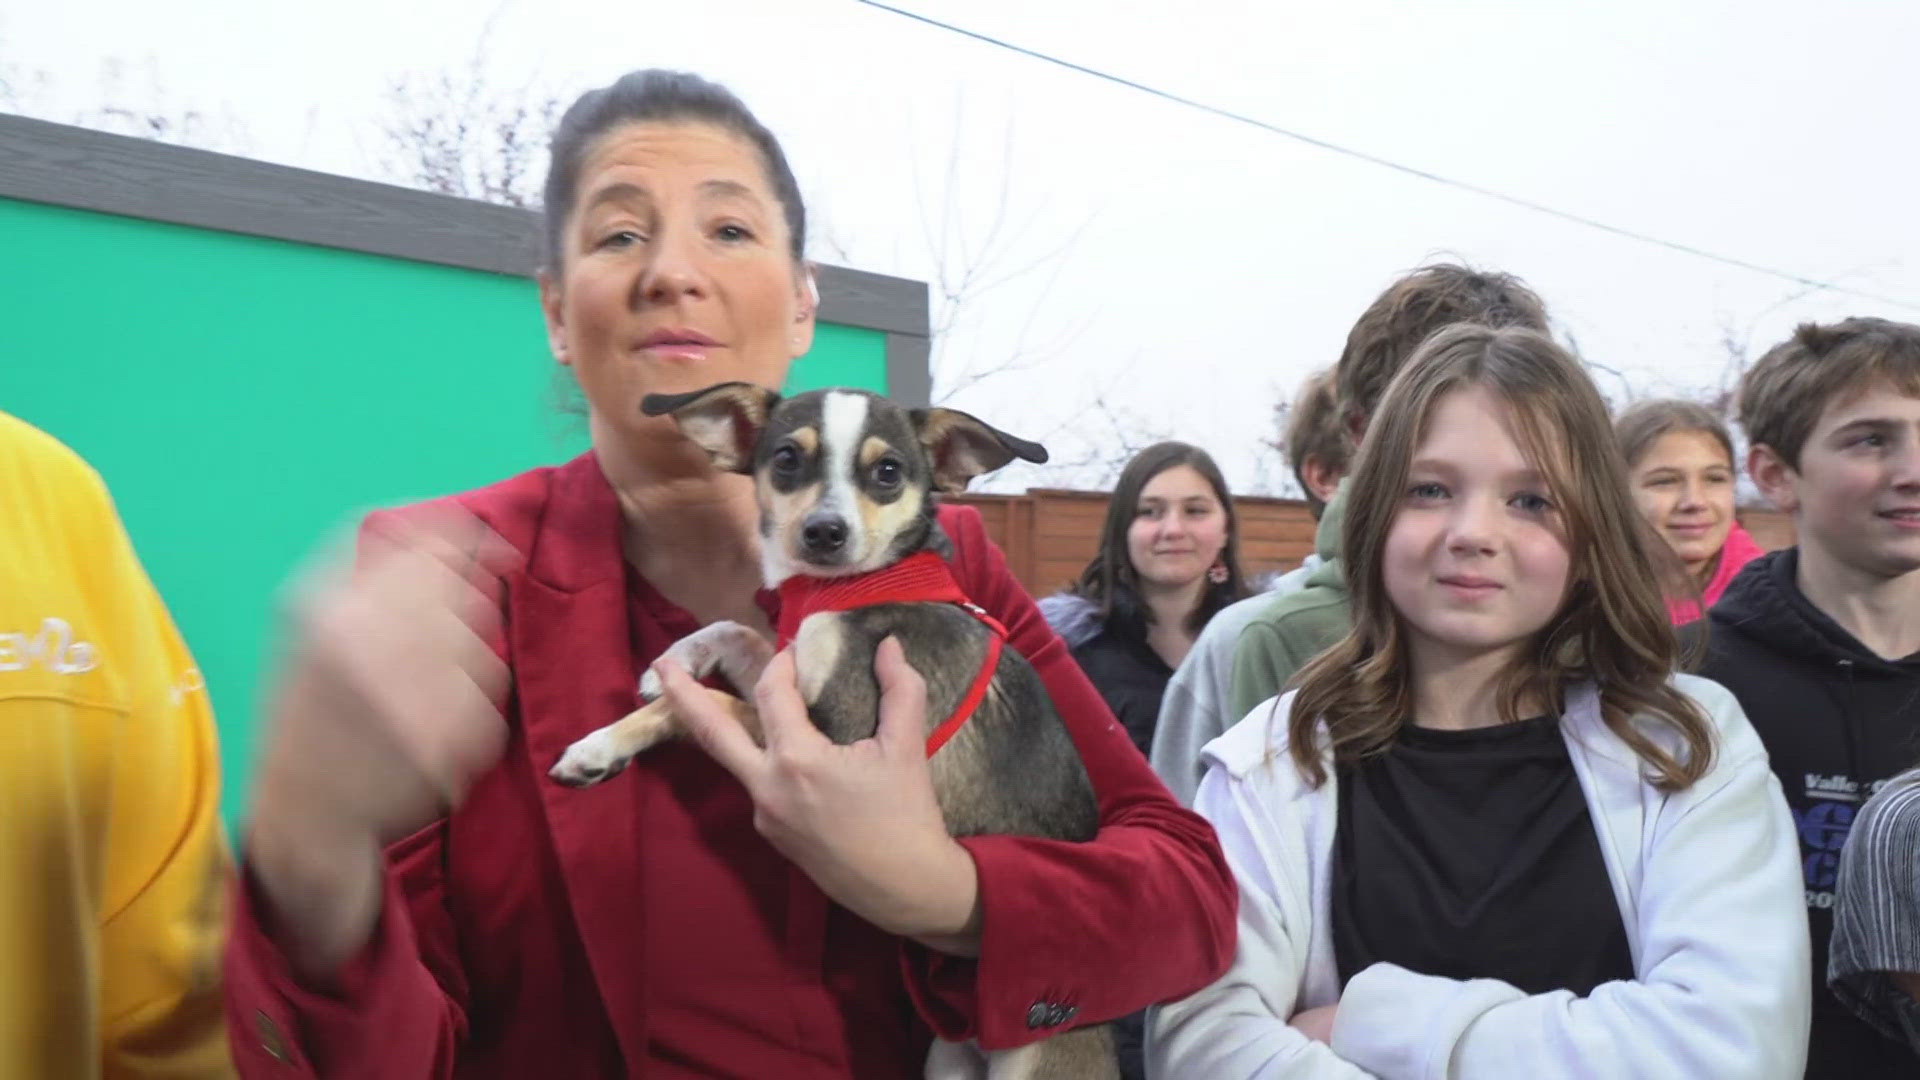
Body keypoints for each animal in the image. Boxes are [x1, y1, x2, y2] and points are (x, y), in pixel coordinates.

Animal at [549, 382, 1121, 1076]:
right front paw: (672, 661)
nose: (825, 530)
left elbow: (707, 704)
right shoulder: (790, 680)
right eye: (787, 459)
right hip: (946, 1062)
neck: (849, 590)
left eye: (888, 472)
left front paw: (599, 745)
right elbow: (739, 633)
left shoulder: (836, 735)